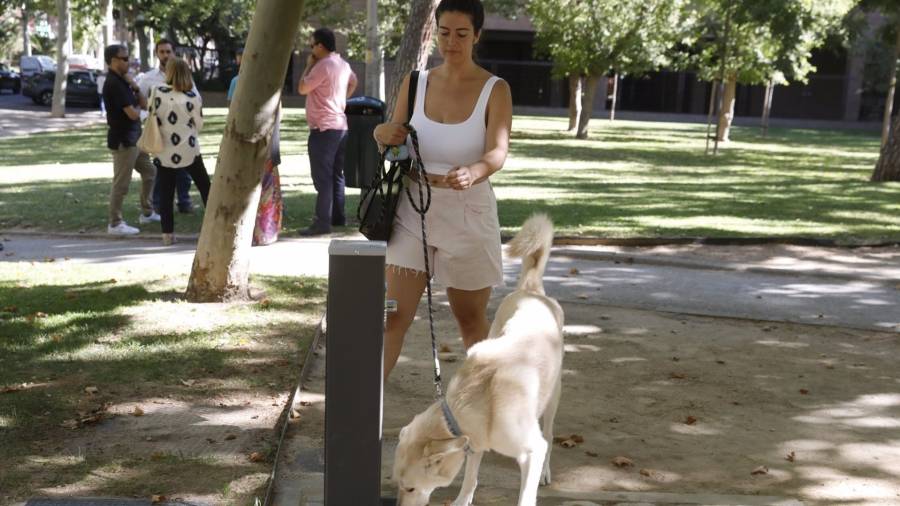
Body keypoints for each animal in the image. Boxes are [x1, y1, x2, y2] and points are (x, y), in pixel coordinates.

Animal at [392, 215, 564, 506]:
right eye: (397, 484)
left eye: (411, 488)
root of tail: (530, 291)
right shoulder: (475, 444)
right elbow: (470, 477)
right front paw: (462, 500)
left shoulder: (532, 451)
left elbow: (525, 495)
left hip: (553, 398)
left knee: (550, 434)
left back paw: (547, 471)